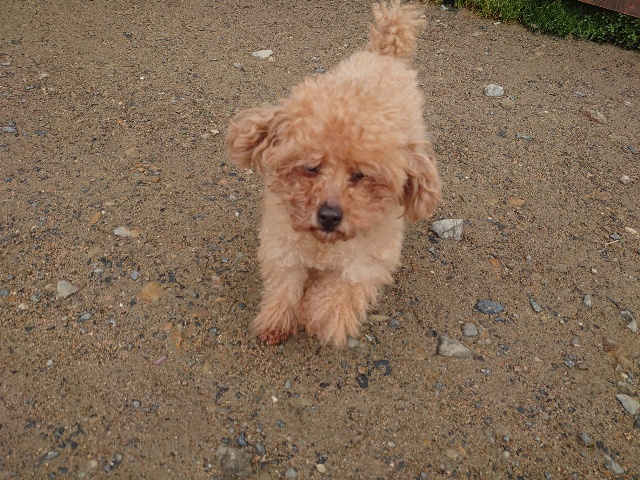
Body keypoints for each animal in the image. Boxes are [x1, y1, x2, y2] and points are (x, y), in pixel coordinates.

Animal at [226, 1, 441, 346]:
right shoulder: (284, 247)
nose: (329, 215)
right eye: (311, 166)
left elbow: (338, 295)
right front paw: (275, 321)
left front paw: (318, 316)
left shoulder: (365, 263)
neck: (323, 245)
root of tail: (385, 54)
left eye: (362, 175)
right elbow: (284, 287)